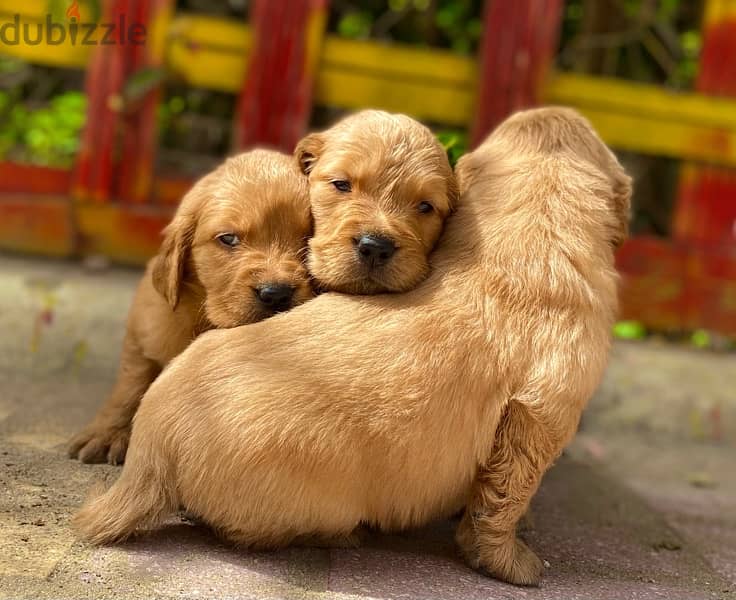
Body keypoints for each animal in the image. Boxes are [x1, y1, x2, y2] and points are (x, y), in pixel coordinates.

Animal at [65, 150, 314, 464]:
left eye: (310, 238)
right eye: (228, 239)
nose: (276, 294)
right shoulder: (143, 330)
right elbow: (131, 384)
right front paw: (107, 433)